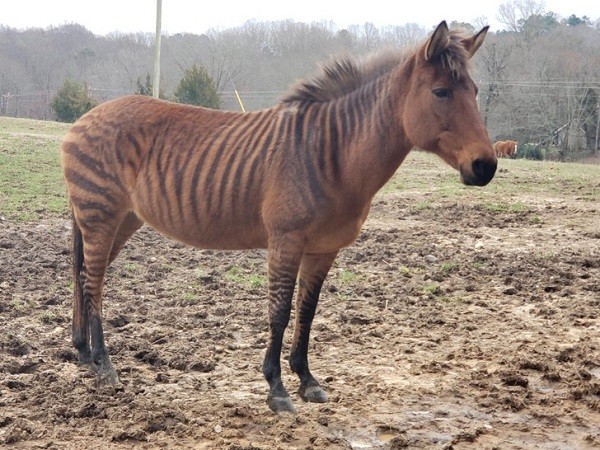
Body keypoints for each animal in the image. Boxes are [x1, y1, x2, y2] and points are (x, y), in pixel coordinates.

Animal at [61, 21, 494, 414]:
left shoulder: (324, 249)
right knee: (94, 283)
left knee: (83, 277)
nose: (486, 167)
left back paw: (84, 354)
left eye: (474, 92)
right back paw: (105, 366)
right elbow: (280, 312)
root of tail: (84, 118)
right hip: (100, 215)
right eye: (440, 92)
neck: (331, 154)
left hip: (122, 220)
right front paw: (276, 388)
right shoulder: (285, 240)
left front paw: (307, 380)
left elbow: (308, 311)